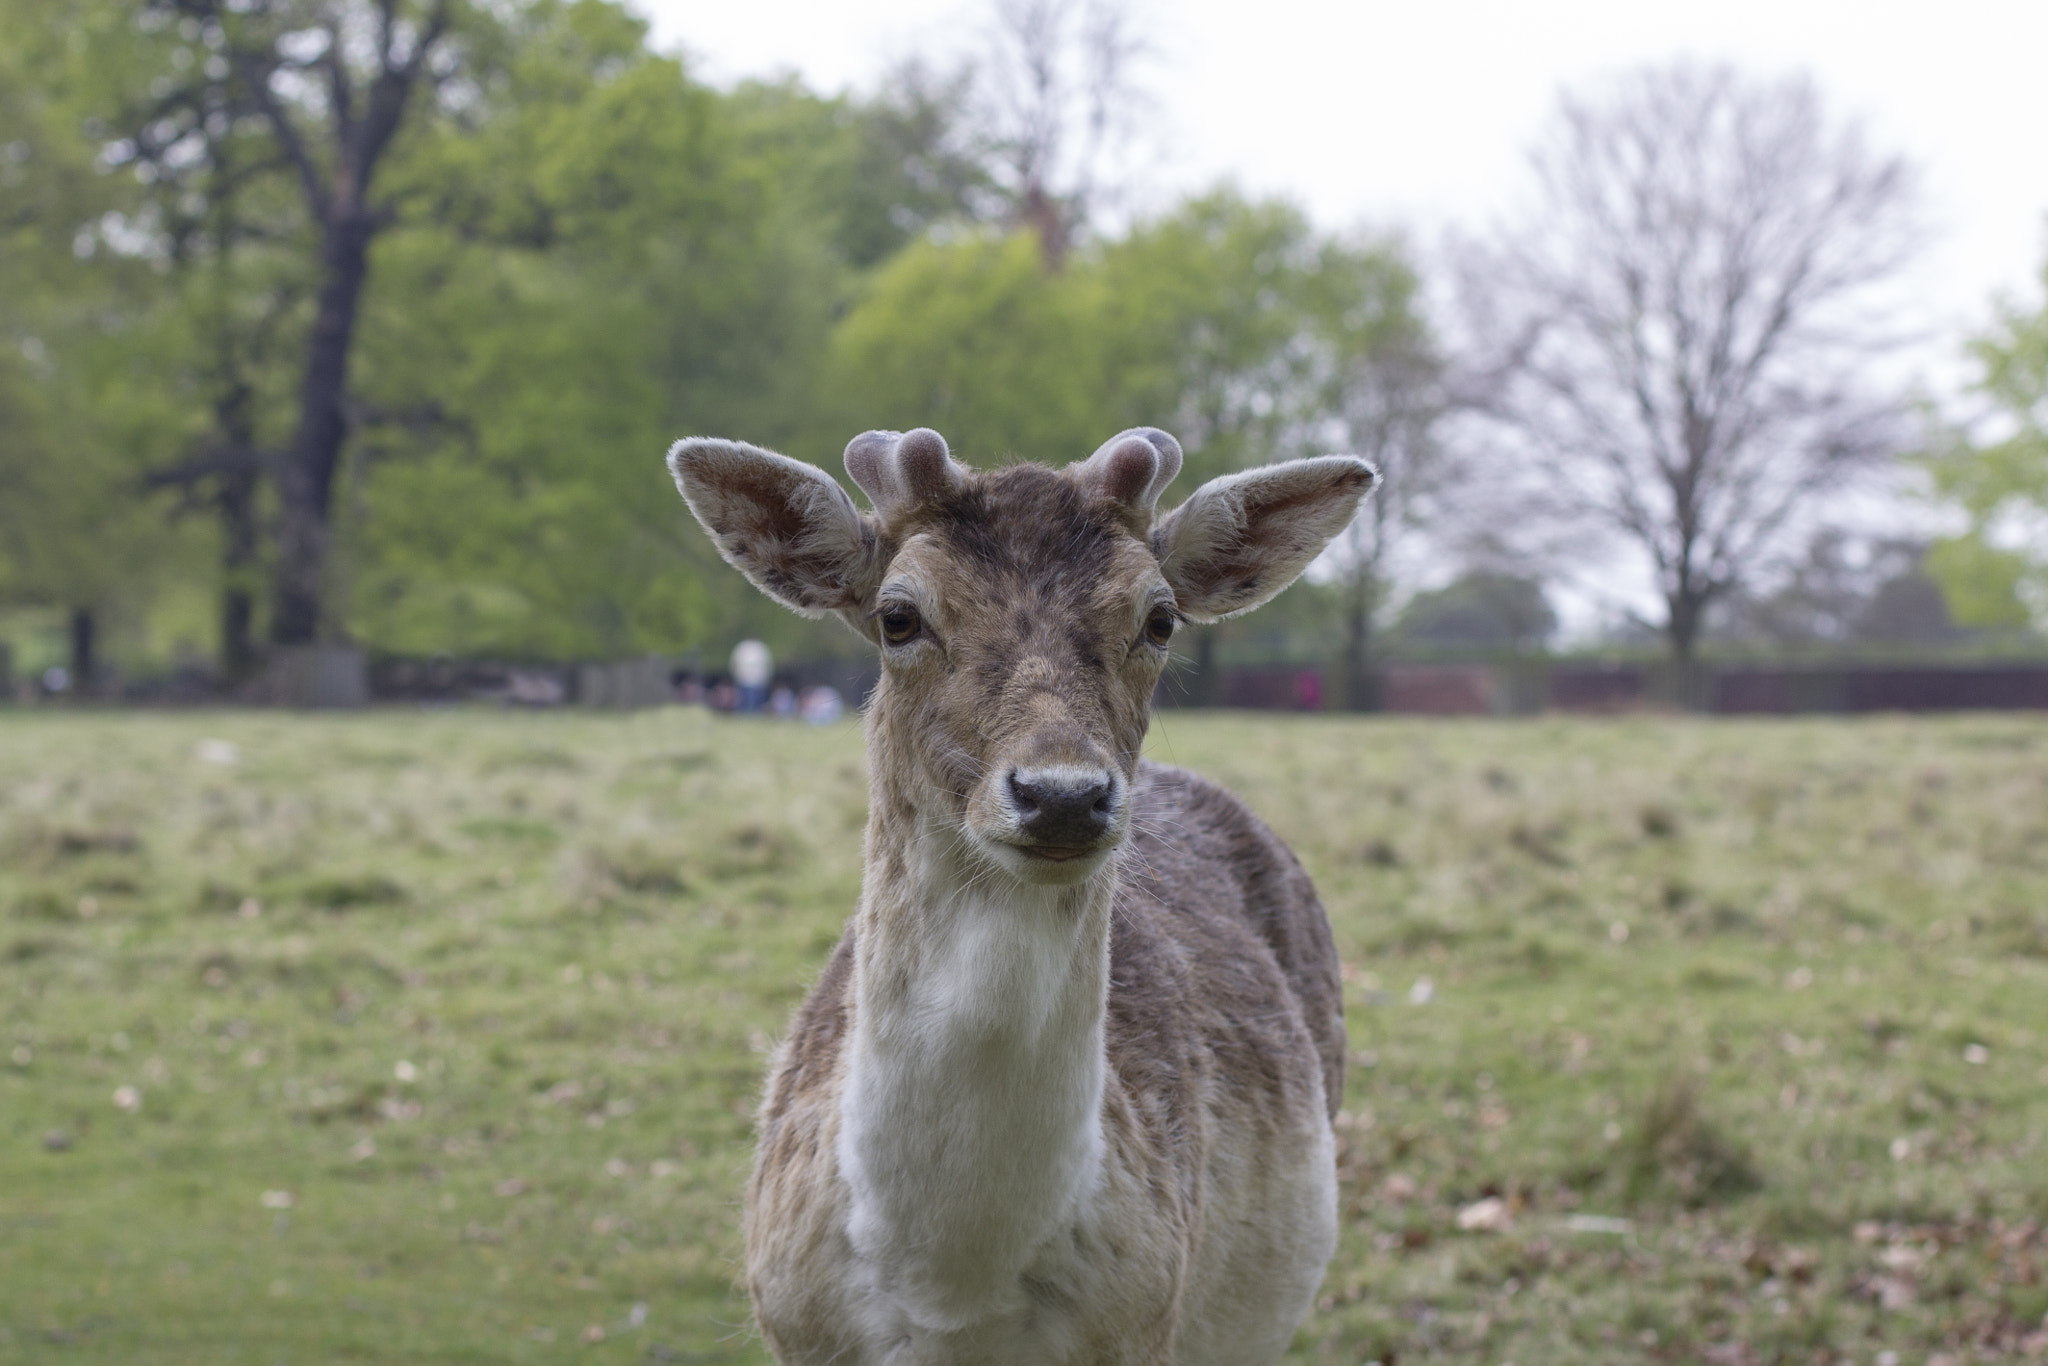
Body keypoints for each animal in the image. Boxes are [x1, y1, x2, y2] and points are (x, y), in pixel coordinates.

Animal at [667, 421, 1376, 1359]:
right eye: (898, 616)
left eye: (1159, 617)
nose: (1064, 794)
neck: (953, 1292)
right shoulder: (792, 1323)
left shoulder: (1146, 1319)